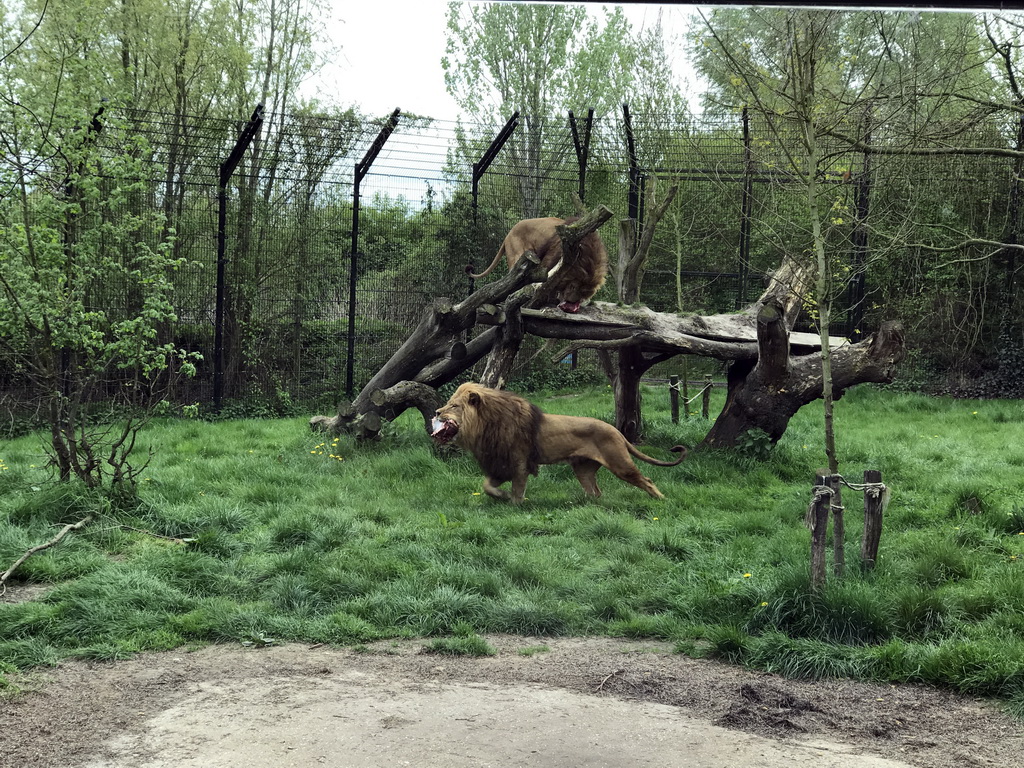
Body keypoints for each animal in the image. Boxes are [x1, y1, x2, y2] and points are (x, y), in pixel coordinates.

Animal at [428, 382, 684, 505]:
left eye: (453, 406)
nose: (437, 412)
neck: (486, 425)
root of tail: (617, 432)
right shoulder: (500, 464)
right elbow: (486, 486)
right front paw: (500, 496)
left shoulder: (519, 463)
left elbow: (518, 490)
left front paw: (513, 503)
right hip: (583, 469)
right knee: (596, 492)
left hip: (619, 463)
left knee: (646, 480)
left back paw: (661, 501)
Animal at [466, 217, 606, 313]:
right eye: (572, 287)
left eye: (583, 294)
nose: (571, 303)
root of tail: (509, 234)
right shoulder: (551, 258)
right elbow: (547, 281)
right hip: (519, 255)